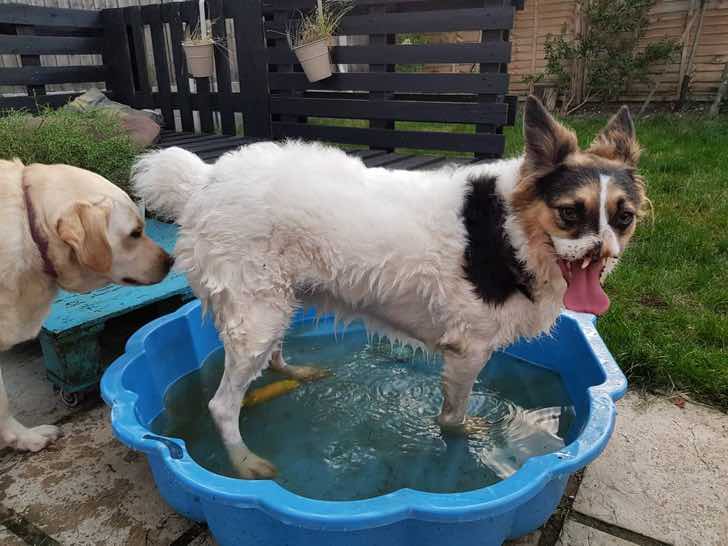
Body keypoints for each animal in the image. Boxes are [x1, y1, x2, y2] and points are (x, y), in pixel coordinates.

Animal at [134, 96, 644, 476]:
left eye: (624, 218)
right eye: (569, 212)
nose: (603, 253)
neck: (513, 232)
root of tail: (206, 179)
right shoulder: (468, 352)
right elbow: (452, 419)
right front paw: (469, 440)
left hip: (273, 301)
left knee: (272, 355)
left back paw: (296, 373)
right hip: (256, 309)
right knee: (222, 405)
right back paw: (245, 463)